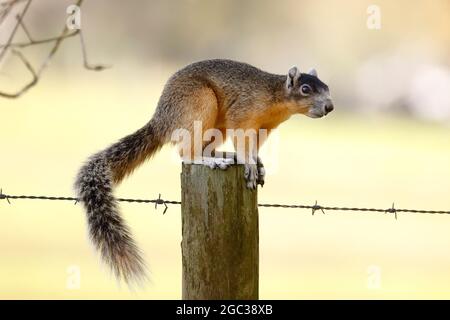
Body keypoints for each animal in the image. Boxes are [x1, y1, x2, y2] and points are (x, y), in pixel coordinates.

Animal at [74, 58, 334, 284]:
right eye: (305, 89)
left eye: (327, 87)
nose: (330, 106)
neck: (275, 97)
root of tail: (161, 121)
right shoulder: (242, 116)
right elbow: (244, 145)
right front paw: (249, 166)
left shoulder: (264, 127)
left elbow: (253, 148)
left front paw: (257, 162)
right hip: (199, 105)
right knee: (186, 153)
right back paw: (210, 161)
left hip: (215, 126)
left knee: (204, 147)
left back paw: (222, 156)